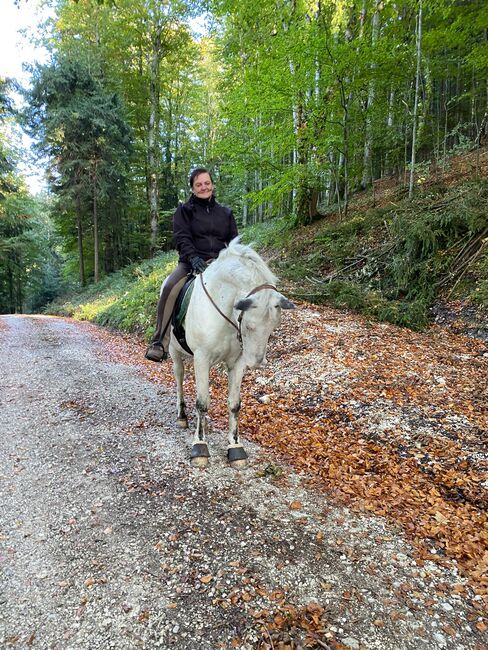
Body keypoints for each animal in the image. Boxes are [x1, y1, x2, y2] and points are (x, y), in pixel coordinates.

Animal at [170, 238, 296, 466]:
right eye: (249, 325)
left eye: (273, 327)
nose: (256, 362)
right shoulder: (201, 358)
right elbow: (202, 403)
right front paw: (200, 446)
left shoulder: (236, 363)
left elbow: (234, 404)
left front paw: (235, 447)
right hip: (175, 352)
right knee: (179, 379)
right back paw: (182, 416)